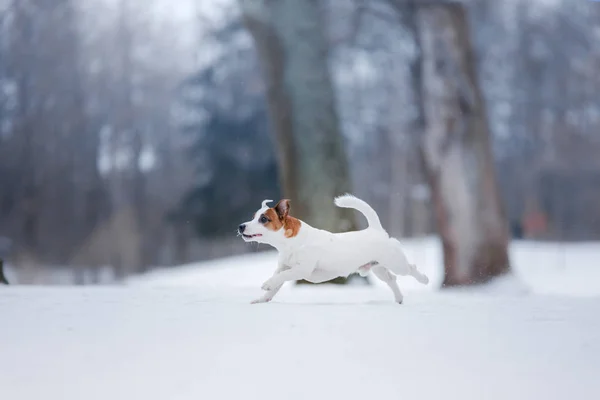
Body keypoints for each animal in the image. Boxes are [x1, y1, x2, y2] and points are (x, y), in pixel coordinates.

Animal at [237, 194, 428, 304]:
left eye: (263, 219)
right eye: (253, 217)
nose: (241, 226)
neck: (292, 243)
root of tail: (376, 229)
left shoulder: (301, 269)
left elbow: (280, 277)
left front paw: (267, 284)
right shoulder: (283, 267)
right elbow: (277, 282)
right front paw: (263, 299)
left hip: (396, 262)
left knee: (411, 268)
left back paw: (423, 279)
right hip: (379, 268)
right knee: (392, 279)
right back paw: (399, 299)